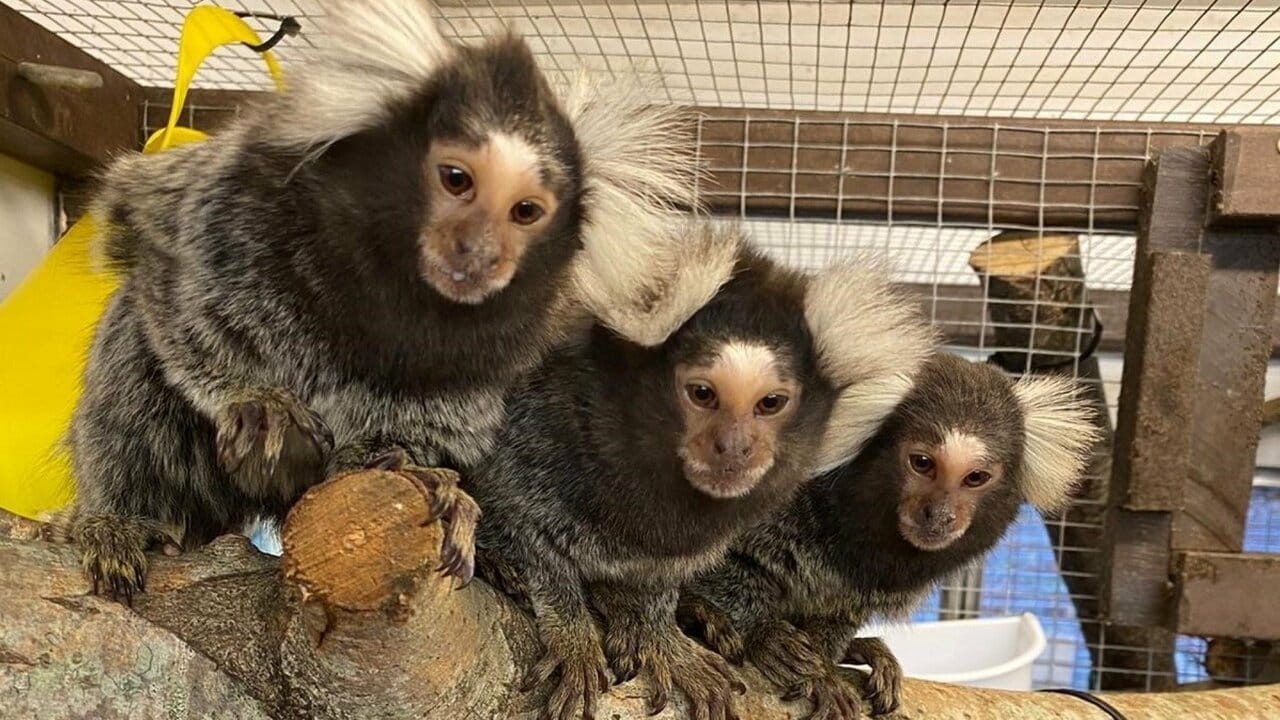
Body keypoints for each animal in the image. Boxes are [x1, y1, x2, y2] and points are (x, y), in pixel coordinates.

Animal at [55, 0, 700, 601]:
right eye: (456, 179)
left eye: (525, 211)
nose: (478, 251)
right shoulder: (229, 197)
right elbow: (165, 281)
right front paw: (257, 403)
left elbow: (437, 416)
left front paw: (411, 472)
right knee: (131, 369)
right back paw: (120, 518)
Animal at [467, 219, 937, 720]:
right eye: (702, 394)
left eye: (771, 403)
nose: (734, 447)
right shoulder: (532, 439)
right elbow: (524, 529)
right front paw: (572, 633)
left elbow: (661, 583)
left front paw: (660, 637)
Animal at [678, 352, 1101, 719]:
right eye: (923, 463)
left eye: (975, 477)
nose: (939, 515)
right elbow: (731, 559)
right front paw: (766, 636)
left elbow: (840, 613)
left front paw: (823, 663)